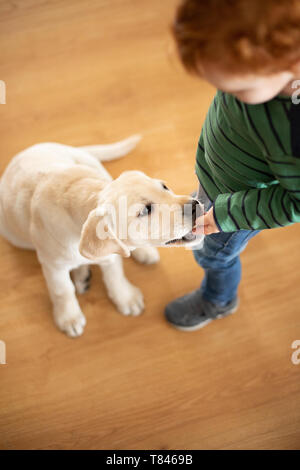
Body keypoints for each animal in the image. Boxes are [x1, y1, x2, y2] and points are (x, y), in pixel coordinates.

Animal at [0, 136, 203, 338]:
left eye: (165, 187)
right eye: (145, 210)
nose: (195, 205)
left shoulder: (109, 255)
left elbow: (115, 275)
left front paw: (125, 297)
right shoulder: (53, 266)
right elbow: (62, 290)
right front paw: (69, 318)